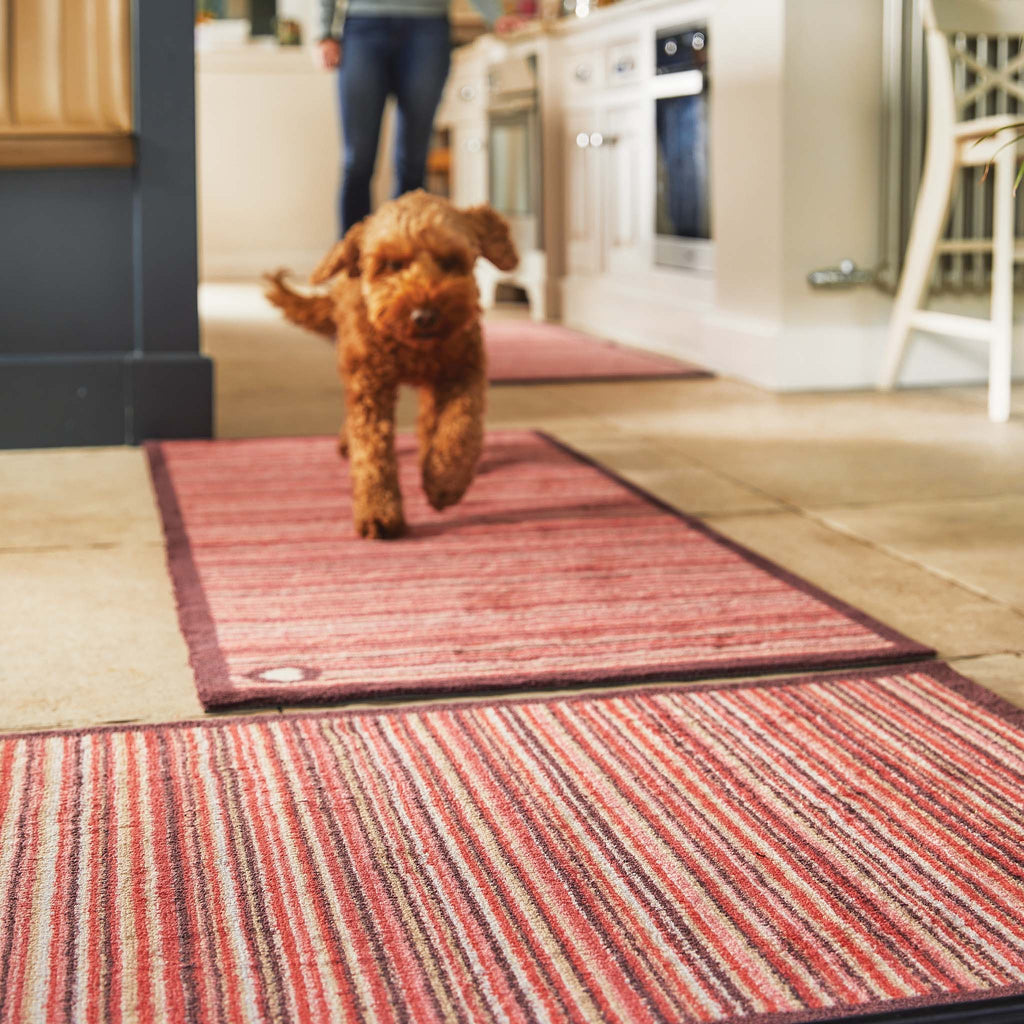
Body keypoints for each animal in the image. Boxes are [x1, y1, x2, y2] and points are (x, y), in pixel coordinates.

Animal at [264, 193, 520, 544]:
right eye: (391, 265)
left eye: (450, 261)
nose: (424, 316)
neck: (411, 347)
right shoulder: (370, 385)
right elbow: (372, 452)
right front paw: (379, 513)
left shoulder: (463, 370)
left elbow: (460, 427)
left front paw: (445, 481)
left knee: (430, 419)